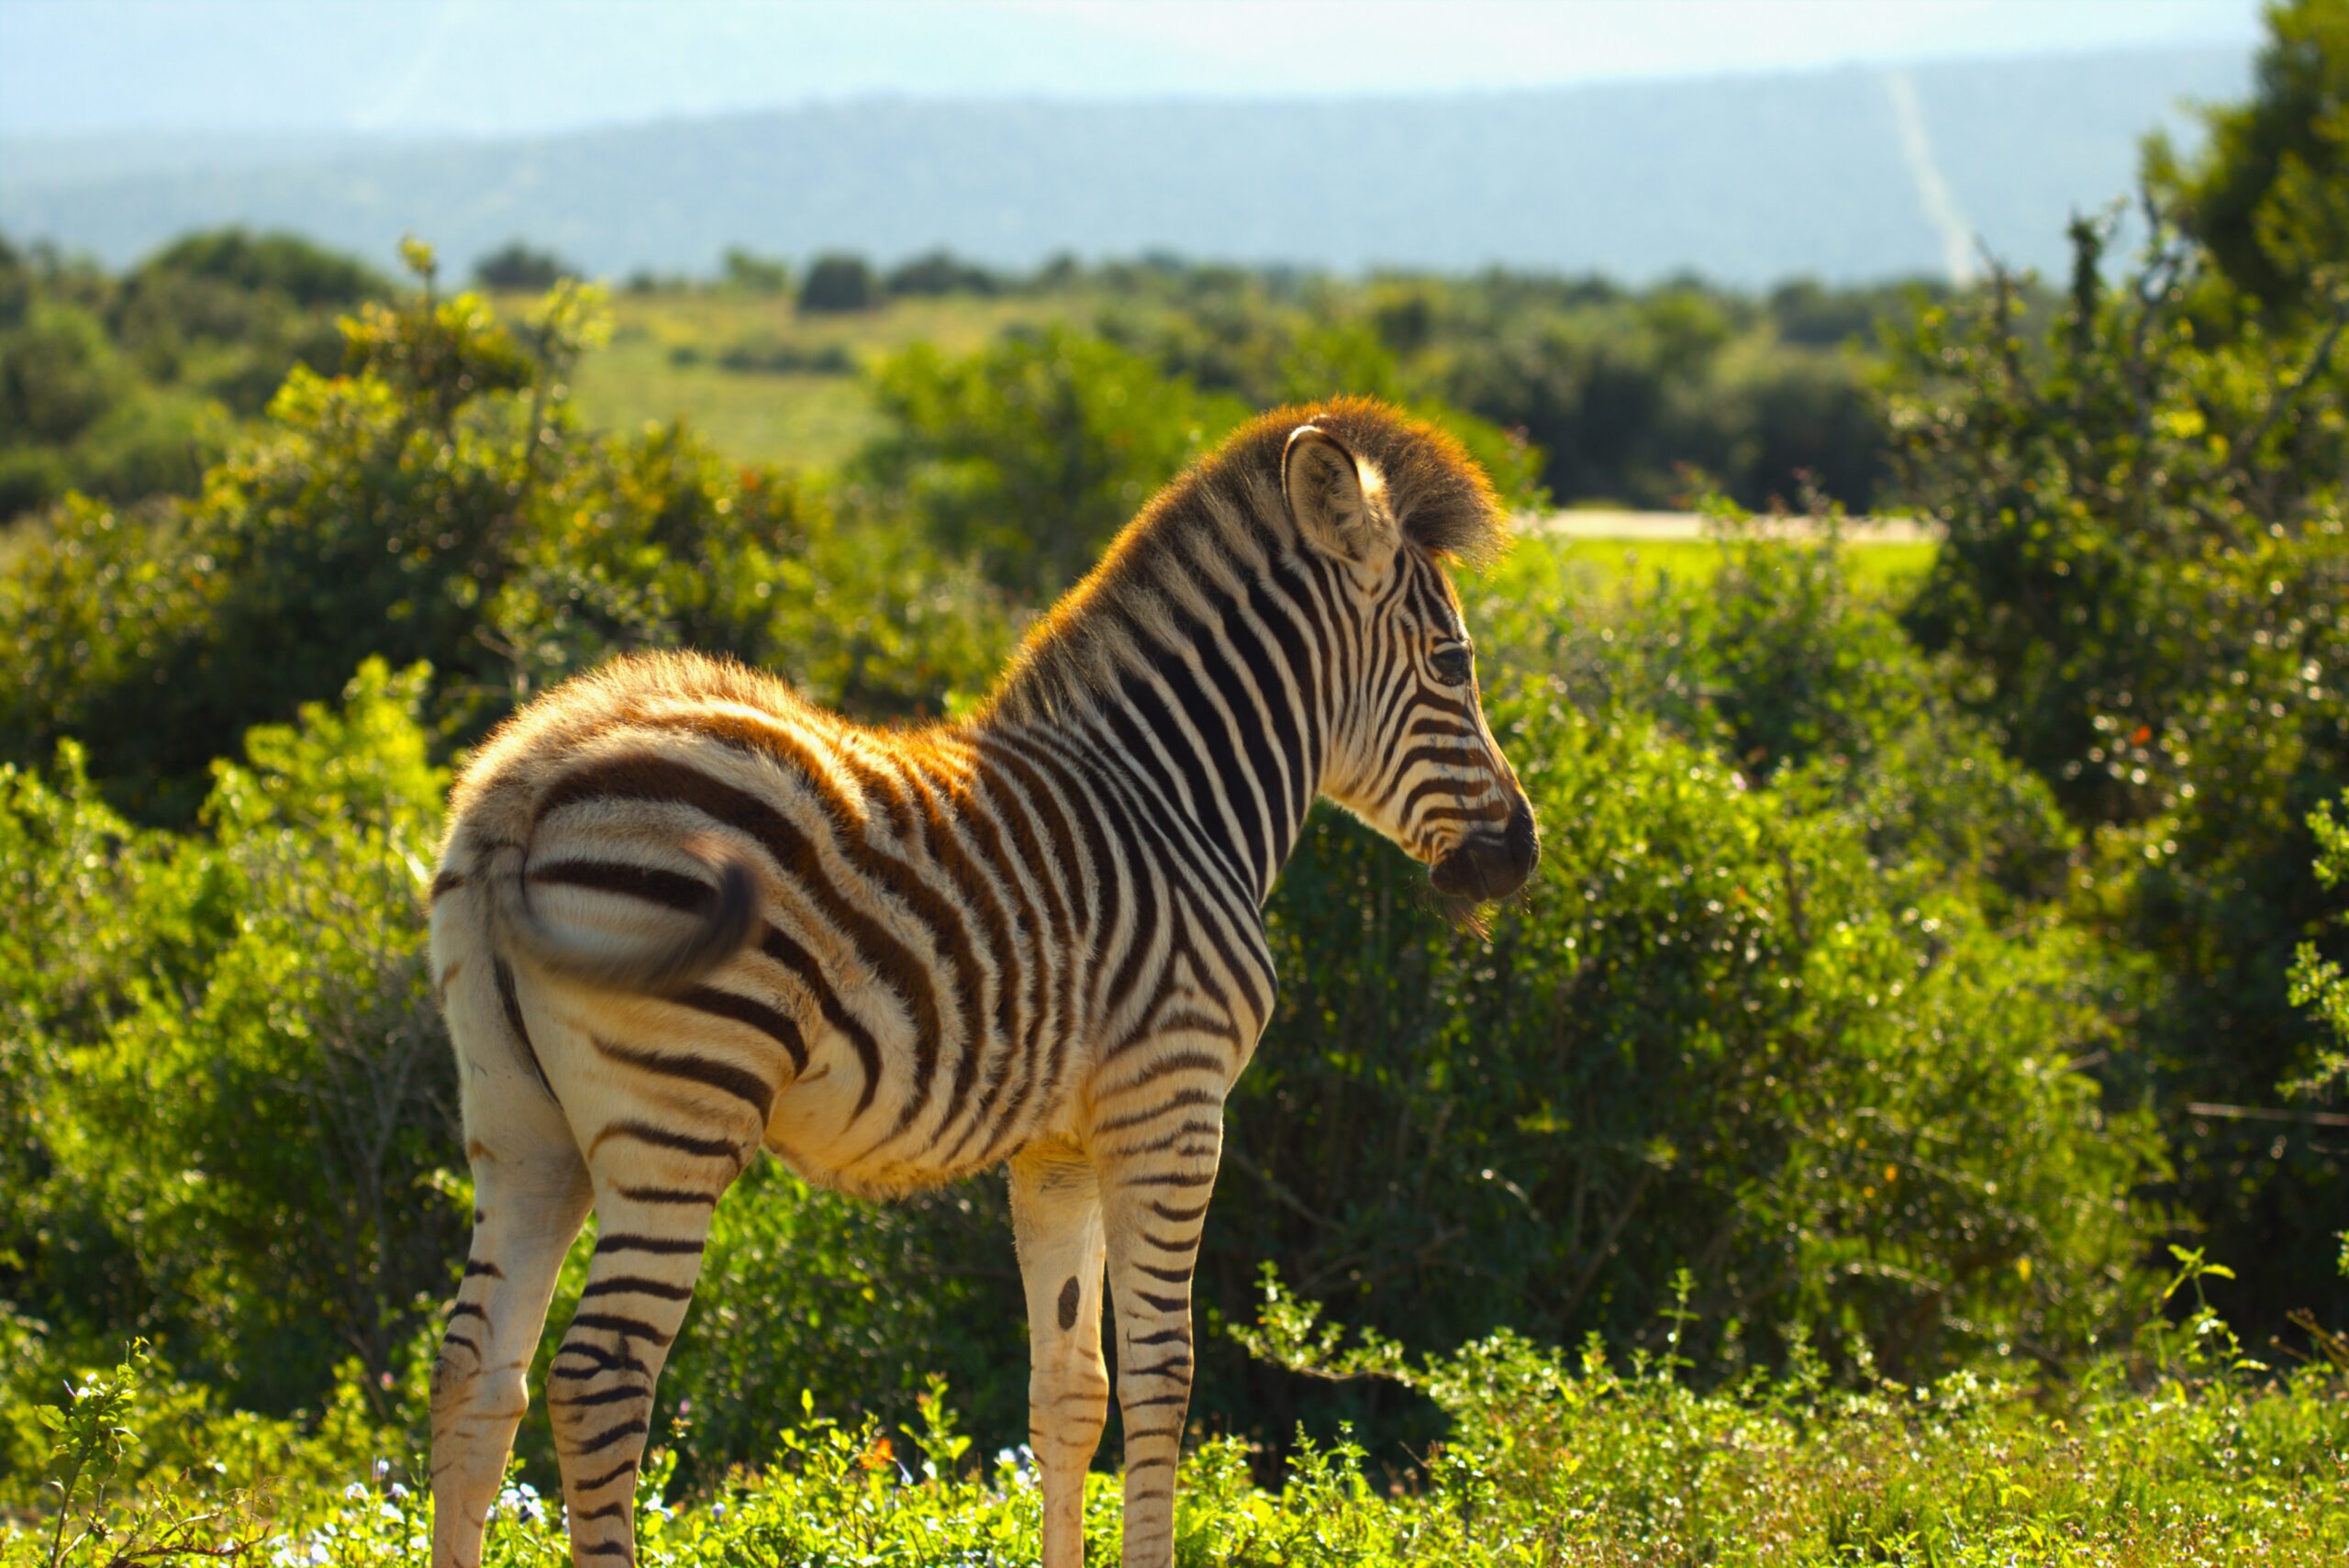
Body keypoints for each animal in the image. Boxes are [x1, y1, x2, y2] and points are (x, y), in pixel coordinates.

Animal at [424, 396, 1538, 1568]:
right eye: (1454, 661)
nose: (1520, 852)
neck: (1175, 802)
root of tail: (530, 775)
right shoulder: (1174, 1106)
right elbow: (1162, 1376)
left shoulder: (1056, 1148)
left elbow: (1069, 1391)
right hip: (679, 1105)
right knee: (599, 1377)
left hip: (521, 1123)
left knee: (475, 1375)